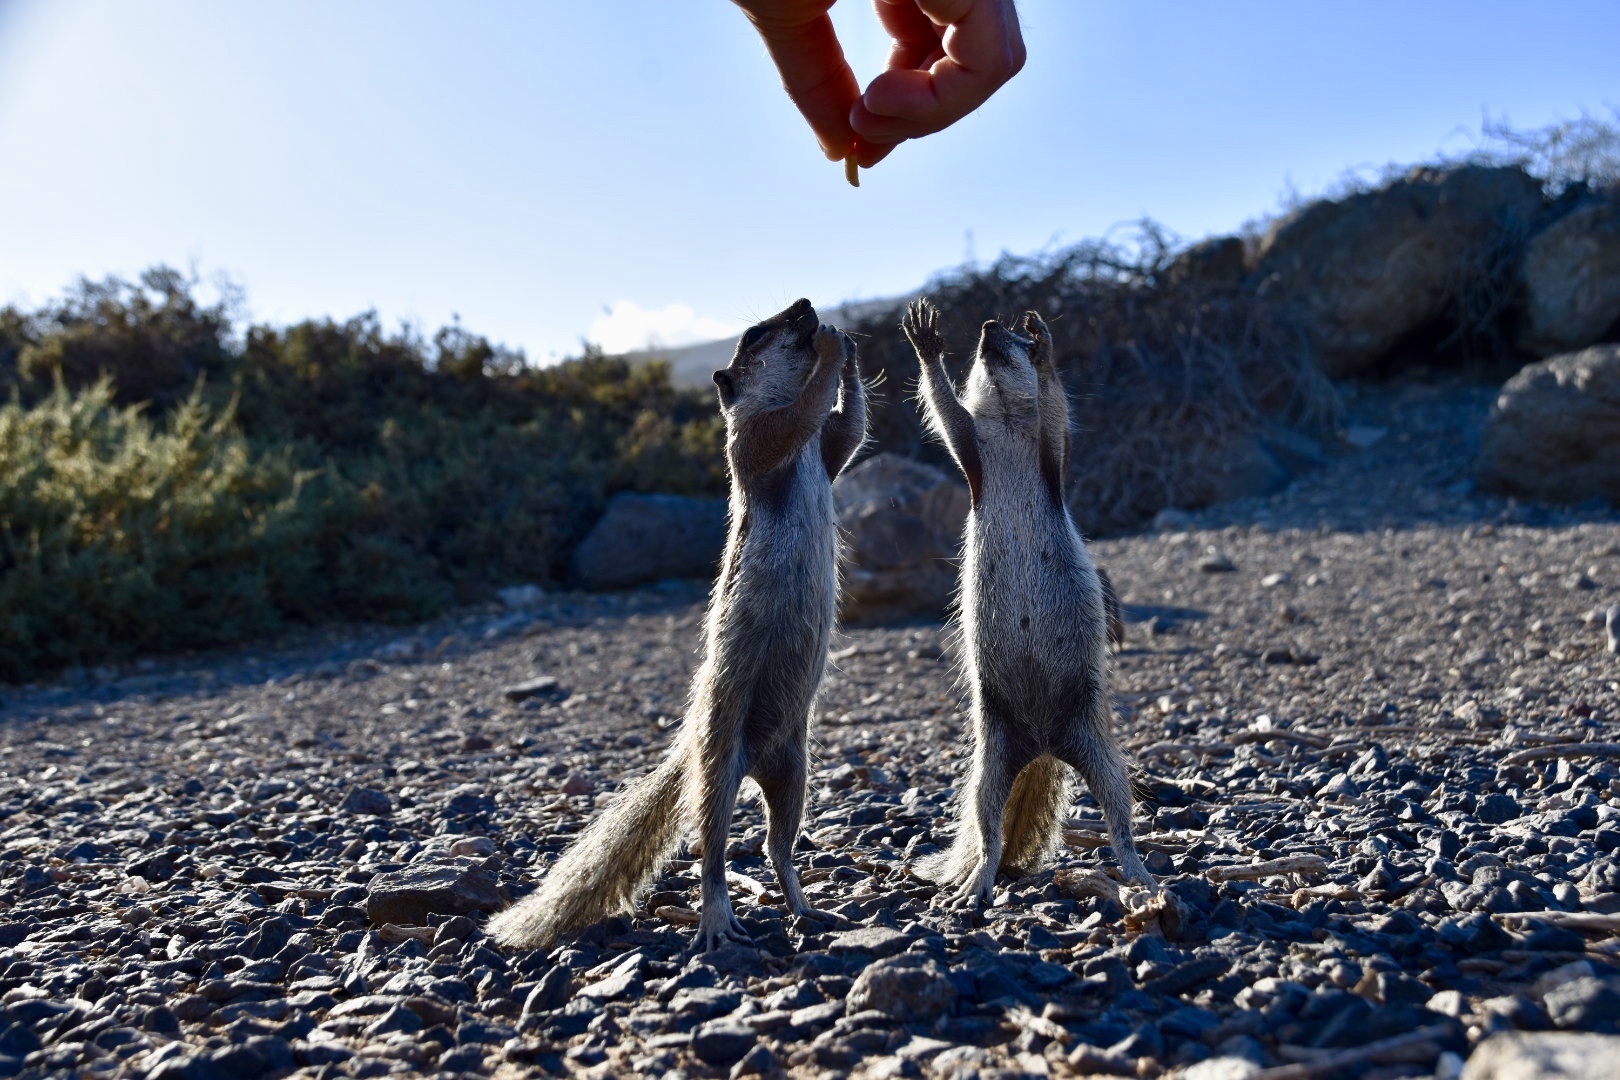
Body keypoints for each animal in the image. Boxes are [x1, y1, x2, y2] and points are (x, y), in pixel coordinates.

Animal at [486, 299, 868, 952]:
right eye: (756, 333)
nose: (807, 307)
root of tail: (743, 757)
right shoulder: (758, 441)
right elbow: (798, 416)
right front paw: (833, 348)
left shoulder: (828, 454)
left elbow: (849, 431)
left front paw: (852, 345)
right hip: (720, 750)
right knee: (710, 848)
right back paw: (717, 920)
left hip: (795, 767)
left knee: (776, 842)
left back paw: (806, 905)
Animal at [900, 297, 1153, 906]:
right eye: (980, 344)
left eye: (1011, 336)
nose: (991, 326)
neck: (1010, 426)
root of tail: (1040, 745)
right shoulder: (971, 449)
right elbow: (946, 411)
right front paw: (927, 345)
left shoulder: (1050, 449)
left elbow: (1055, 405)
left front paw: (1045, 350)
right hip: (991, 762)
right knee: (988, 826)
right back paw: (977, 881)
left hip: (1097, 748)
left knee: (1119, 811)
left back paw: (1136, 869)